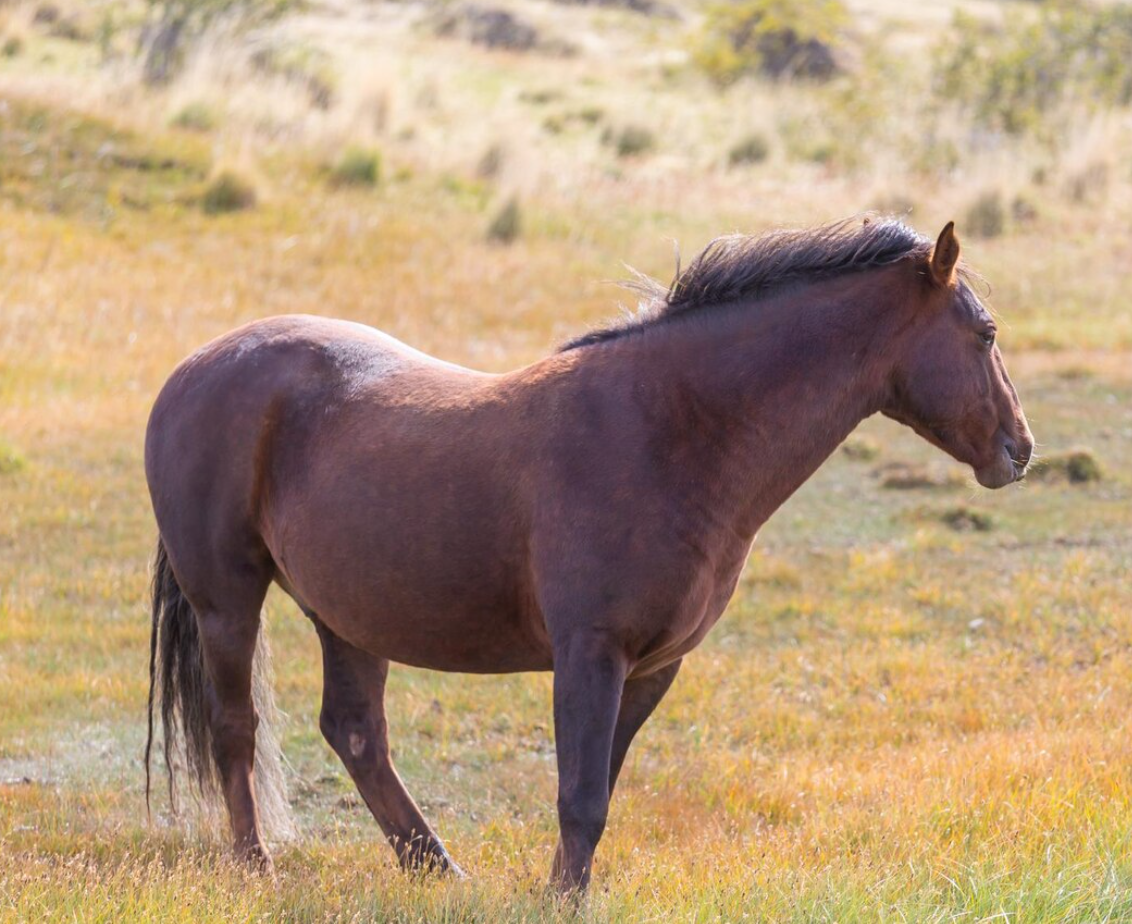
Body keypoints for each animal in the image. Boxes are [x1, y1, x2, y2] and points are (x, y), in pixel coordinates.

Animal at [144, 217, 1033, 891]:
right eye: (985, 332)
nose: (1020, 450)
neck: (668, 428)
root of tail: (195, 369)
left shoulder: (652, 667)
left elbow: (597, 791)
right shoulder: (590, 654)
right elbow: (580, 798)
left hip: (348, 614)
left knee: (356, 734)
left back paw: (438, 872)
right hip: (228, 605)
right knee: (236, 728)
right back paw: (256, 867)